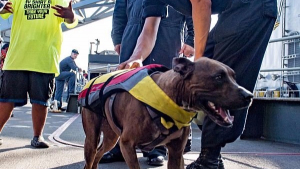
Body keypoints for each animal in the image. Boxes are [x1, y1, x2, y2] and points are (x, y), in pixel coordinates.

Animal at [81, 57, 252, 168]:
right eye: (218, 77)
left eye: (234, 77)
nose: (249, 96)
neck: (169, 96)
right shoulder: (127, 145)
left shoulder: (176, 152)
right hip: (92, 139)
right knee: (92, 156)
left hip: (111, 137)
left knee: (99, 153)